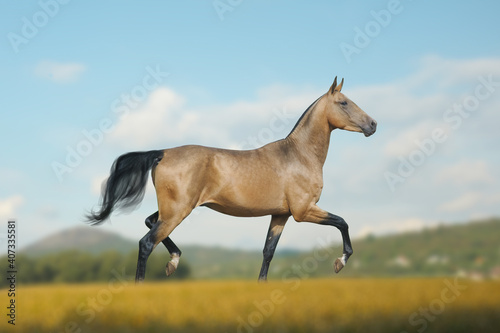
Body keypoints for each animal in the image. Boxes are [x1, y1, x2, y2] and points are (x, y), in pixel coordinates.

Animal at [88, 76, 376, 282]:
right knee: (146, 243)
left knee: (149, 222)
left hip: (172, 209)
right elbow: (342, 222)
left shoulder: (281, 215)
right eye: (343, 102)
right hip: (178, 211)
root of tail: (162, 153)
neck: (298, 156)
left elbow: (268, 252)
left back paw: (173, 262)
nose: (373, 124)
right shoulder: (303, 211)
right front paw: (340, 262)